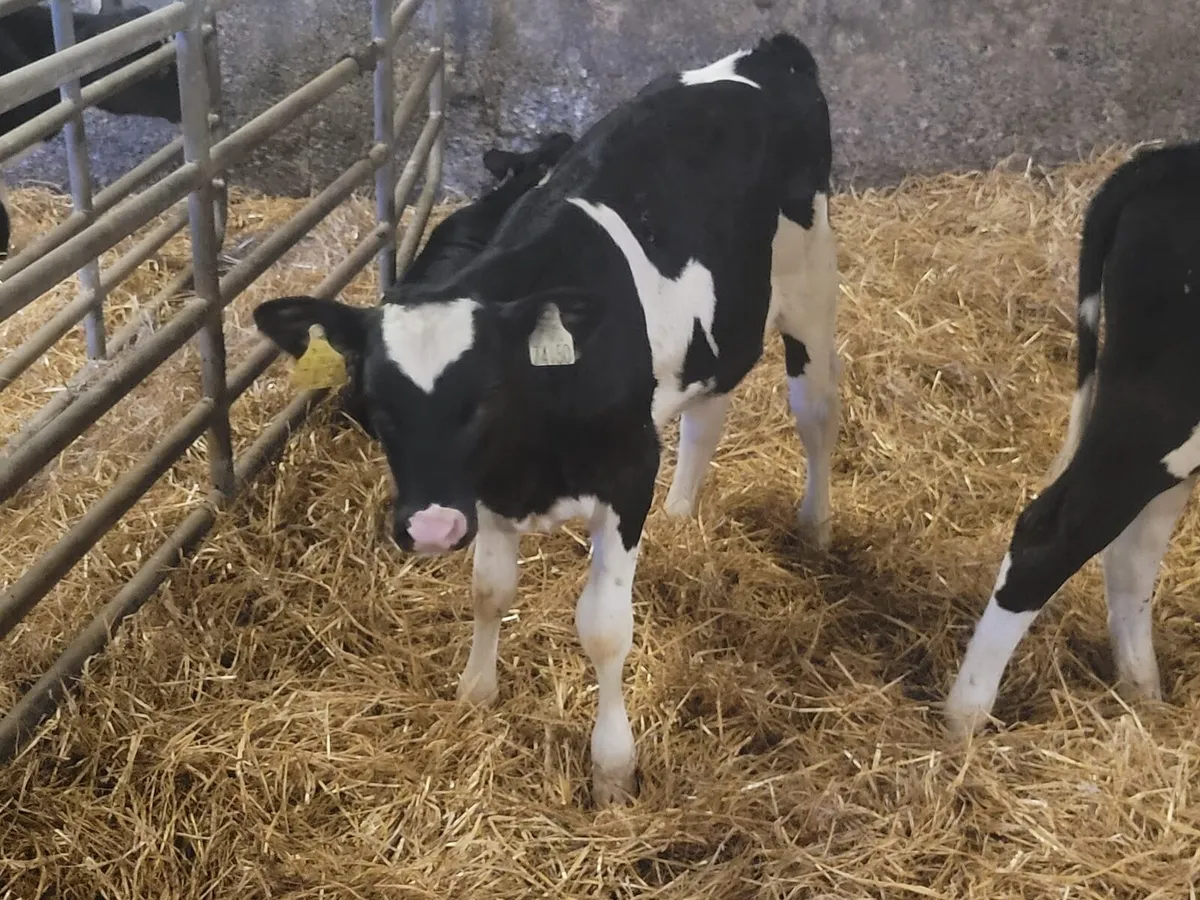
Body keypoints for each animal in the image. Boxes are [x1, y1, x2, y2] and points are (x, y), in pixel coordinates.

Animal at [253, 32, 840, 805]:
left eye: (486, 396)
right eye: (375, 404)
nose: (430, 528)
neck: (526, 457)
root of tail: (767, 51)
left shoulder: (628, 473)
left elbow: (603, 629)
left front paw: (613, 770)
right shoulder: (486, 492)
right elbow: (489, 591)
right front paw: (475, 695)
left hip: (810, 286)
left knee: (817, 414)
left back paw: (816, 525)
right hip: (721, 328)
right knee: (707, 417)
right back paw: (683, 516)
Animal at [945, 141, 1200, 738]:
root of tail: (1167, 160)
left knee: (1129, 551)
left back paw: (1145, 696)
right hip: (1163, 406)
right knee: (1053, 536)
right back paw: (964, 721)